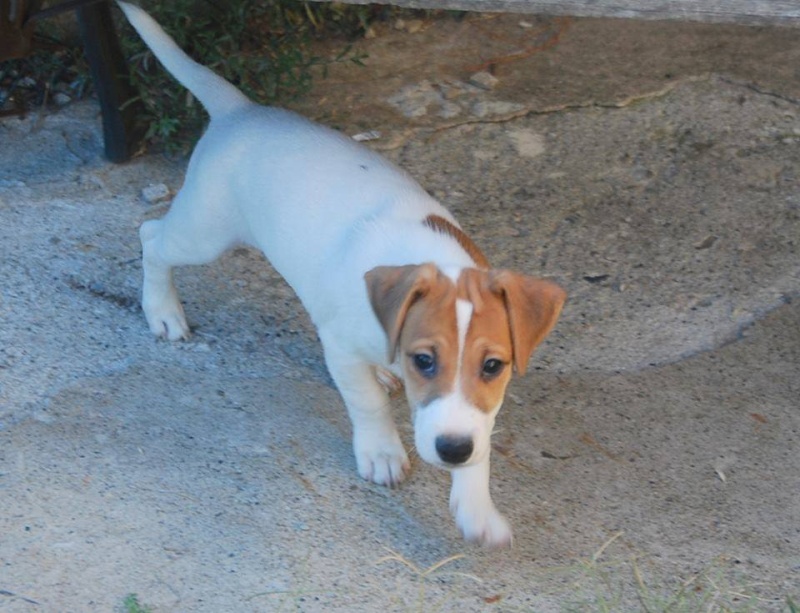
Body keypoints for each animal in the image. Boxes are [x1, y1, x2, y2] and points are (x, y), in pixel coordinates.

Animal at [120, 0, 568, 544]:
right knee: (151, 237)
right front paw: (382, 452)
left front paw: (476, 508)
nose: (452, 451)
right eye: (424, 360)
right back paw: (162, 311)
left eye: (493, 366)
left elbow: (478, 437)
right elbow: (366, 401)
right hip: (204, 232)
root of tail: (241, 113)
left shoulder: (474, 413)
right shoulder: (340, 347)